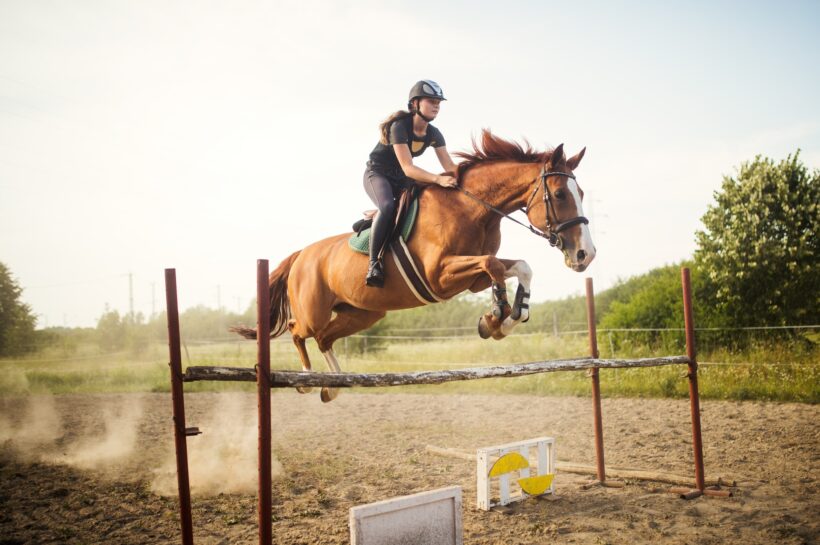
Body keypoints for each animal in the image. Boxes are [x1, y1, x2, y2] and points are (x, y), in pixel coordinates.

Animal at [233, 130, 595, 402]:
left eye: (582, 192)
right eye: (560, 194)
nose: (585, 255)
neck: (473, 210)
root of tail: (301, 255)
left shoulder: (470, 280)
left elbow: (519, 267)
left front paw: (504, 320)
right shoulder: (440, 276)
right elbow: (493, 264)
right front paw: (495, 317)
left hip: (363, 314)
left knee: (324, 338)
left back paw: (333, 386)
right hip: (314, 311)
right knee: (298, 331)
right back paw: (308, 380)